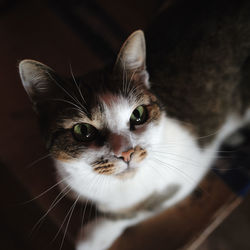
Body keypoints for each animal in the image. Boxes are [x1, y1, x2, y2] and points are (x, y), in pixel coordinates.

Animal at [18, 0, 250, 249]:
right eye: (83, 130)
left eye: (138, 114)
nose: (126, 153)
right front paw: (67, 187)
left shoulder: (184, 175)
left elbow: (136, 209)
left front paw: (95, 235)